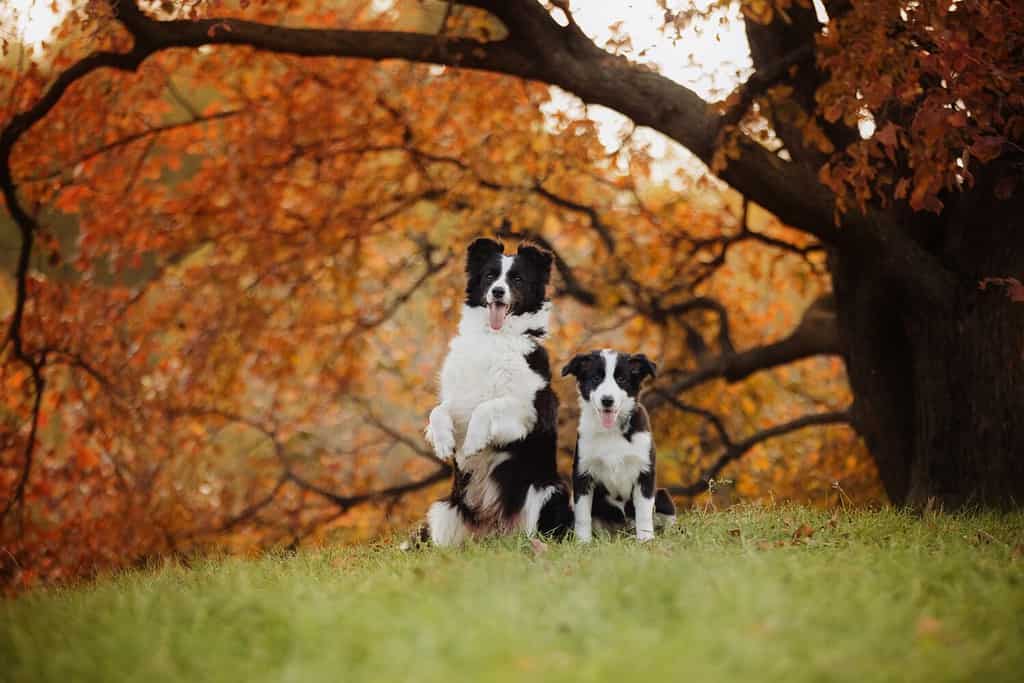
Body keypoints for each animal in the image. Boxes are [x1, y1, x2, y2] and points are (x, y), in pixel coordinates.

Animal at [419, 237, 573, 548]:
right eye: (490, 276)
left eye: (517, 279)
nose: (498, 291)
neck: (494, 336)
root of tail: (494, 531)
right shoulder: (459, 402)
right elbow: (438, 411)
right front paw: (443, 443)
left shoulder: (530, 411)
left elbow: (488, 407)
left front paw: (475, 443)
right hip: (445, 509)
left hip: (547, 492)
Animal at [561, 350, 671, 540]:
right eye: (596, 378)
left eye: (621, 379)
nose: (607, 400)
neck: (611, 431)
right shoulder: (582, 473)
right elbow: (582, 515)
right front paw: (583, 542)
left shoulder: (645, 472)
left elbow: (644, 512)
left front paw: (646, 539)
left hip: (663, 496)